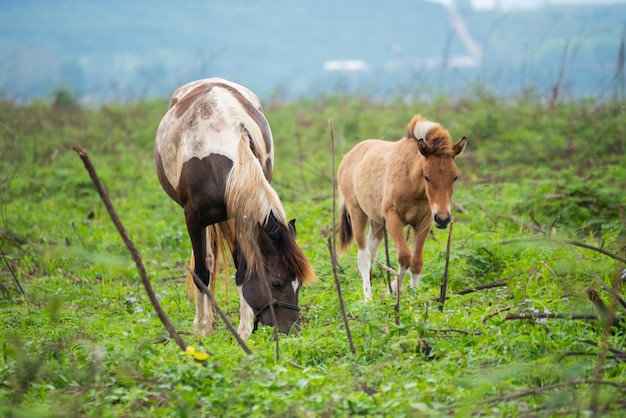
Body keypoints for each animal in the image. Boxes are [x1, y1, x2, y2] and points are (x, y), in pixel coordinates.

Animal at [154, 78, 314, 340]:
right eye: (276, 283)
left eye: (298, 283)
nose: (291, 330)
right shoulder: (193, 219)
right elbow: (201, 272)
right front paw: (202, 328)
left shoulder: (243, 219)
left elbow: (243, 271)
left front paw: (244, 330)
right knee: (207, 262)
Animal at [336, 114, 464, 300]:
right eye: (427, 177)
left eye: (455, 177)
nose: (443, 219)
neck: (412, 184)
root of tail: (347, 156)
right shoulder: (393, 218)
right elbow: (404, 257)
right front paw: (393, 291)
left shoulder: (424, 221)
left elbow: (417, 261)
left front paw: (412, 295)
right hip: (356, 213)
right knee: (364, 255)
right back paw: (368, 298)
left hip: (376, 222)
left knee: (372, 251)